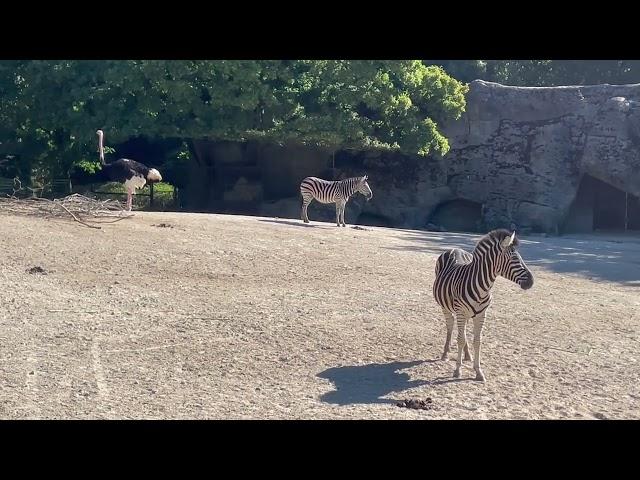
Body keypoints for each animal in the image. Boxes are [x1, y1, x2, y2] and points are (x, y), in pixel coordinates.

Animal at [432, 229, 532, 382]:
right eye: (514, 259)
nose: (531, 281)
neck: (482, 287)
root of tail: (455, 249)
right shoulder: (461, 311)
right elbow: (460, 339)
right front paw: (457, 370)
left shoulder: (481, 314)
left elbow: (477, 341)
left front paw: (478, 371)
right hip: (446, 307)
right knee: (450, 326)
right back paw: (445, 353)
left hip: (466, 314)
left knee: (462, 331)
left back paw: (467, 355)